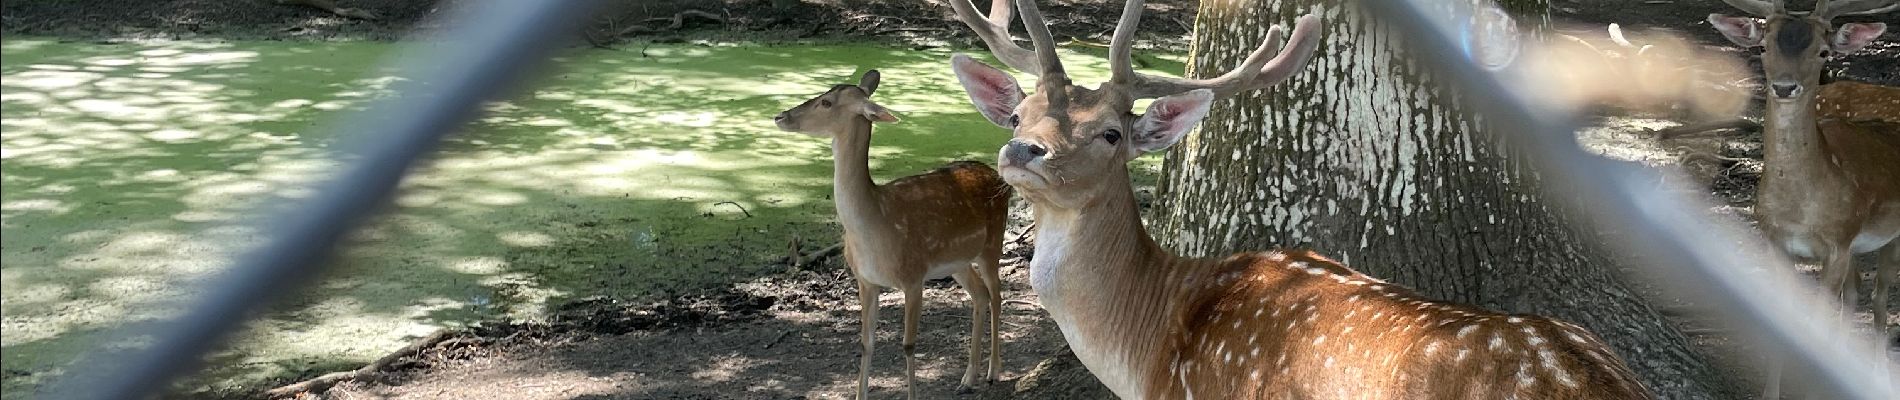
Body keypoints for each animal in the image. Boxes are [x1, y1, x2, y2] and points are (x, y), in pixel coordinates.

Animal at [771, 70, 1010, 398]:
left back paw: (993, 371)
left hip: (993, 242)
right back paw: (967, 377)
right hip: (958, 262)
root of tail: (998, 178)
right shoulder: (865, 280)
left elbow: (908, 344)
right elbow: (865, 343)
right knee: (980, 295)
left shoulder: (913, 276)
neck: (875, 228)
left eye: (827, 102)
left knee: (997, 294)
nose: (781, 116)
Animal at [1710, 0, 1900, 396]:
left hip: (1888, 236)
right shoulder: (1775, 242)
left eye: (1823, 51)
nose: (1784, 87)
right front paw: (1770, 394)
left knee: (1879, 301)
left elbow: (1817, 327)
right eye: (1763, 46)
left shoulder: (1837, 243)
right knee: (1855, 295)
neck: (1798, 211)